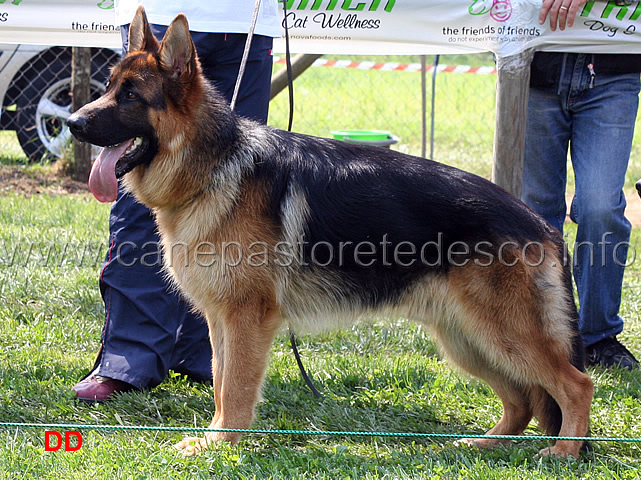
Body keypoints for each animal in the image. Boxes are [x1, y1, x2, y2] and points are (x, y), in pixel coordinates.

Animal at [67, 6, 592, 458]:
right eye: (108, 87)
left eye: (131, 96)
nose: (70, 122)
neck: (212, 166)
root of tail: (541, 224)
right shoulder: (221, 320)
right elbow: (219, 381)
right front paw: (216, 437)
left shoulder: (246, 318)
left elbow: (234, 387)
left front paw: (221, 445)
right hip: (467, 338)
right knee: (523, 400)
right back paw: (488, 443)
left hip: (503, 334)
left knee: (574, 385)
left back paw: (563, 452)